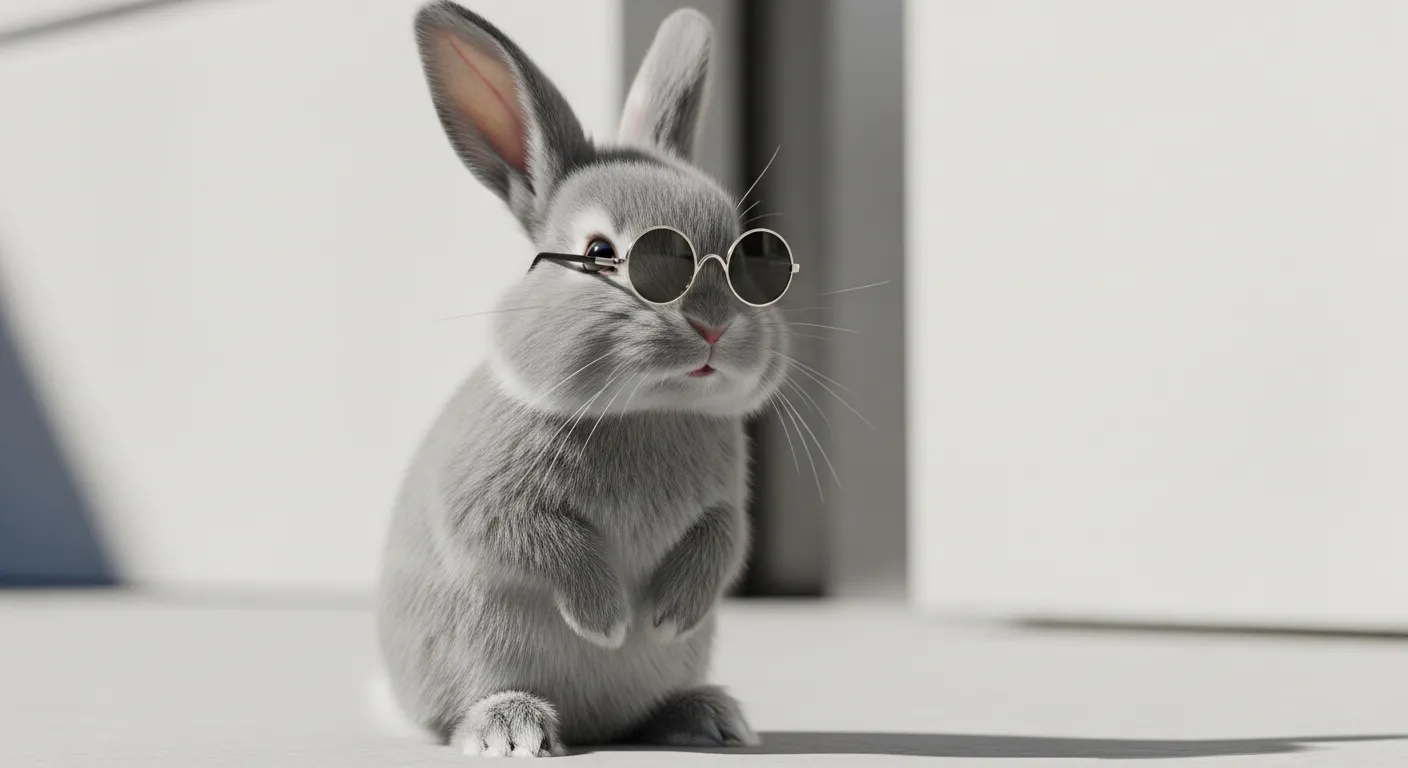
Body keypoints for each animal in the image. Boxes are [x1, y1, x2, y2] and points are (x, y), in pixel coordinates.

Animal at [374, 1, 792, 758]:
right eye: (601, 252)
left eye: (750, 258)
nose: (715, 326)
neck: (647, 410)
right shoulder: (493, 502)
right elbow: (547, 546)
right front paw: (611, 622)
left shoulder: (727, 508)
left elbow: (723, 540)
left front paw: (667, 617)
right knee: (465, 710)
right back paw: (512, 728)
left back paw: (709, 717)